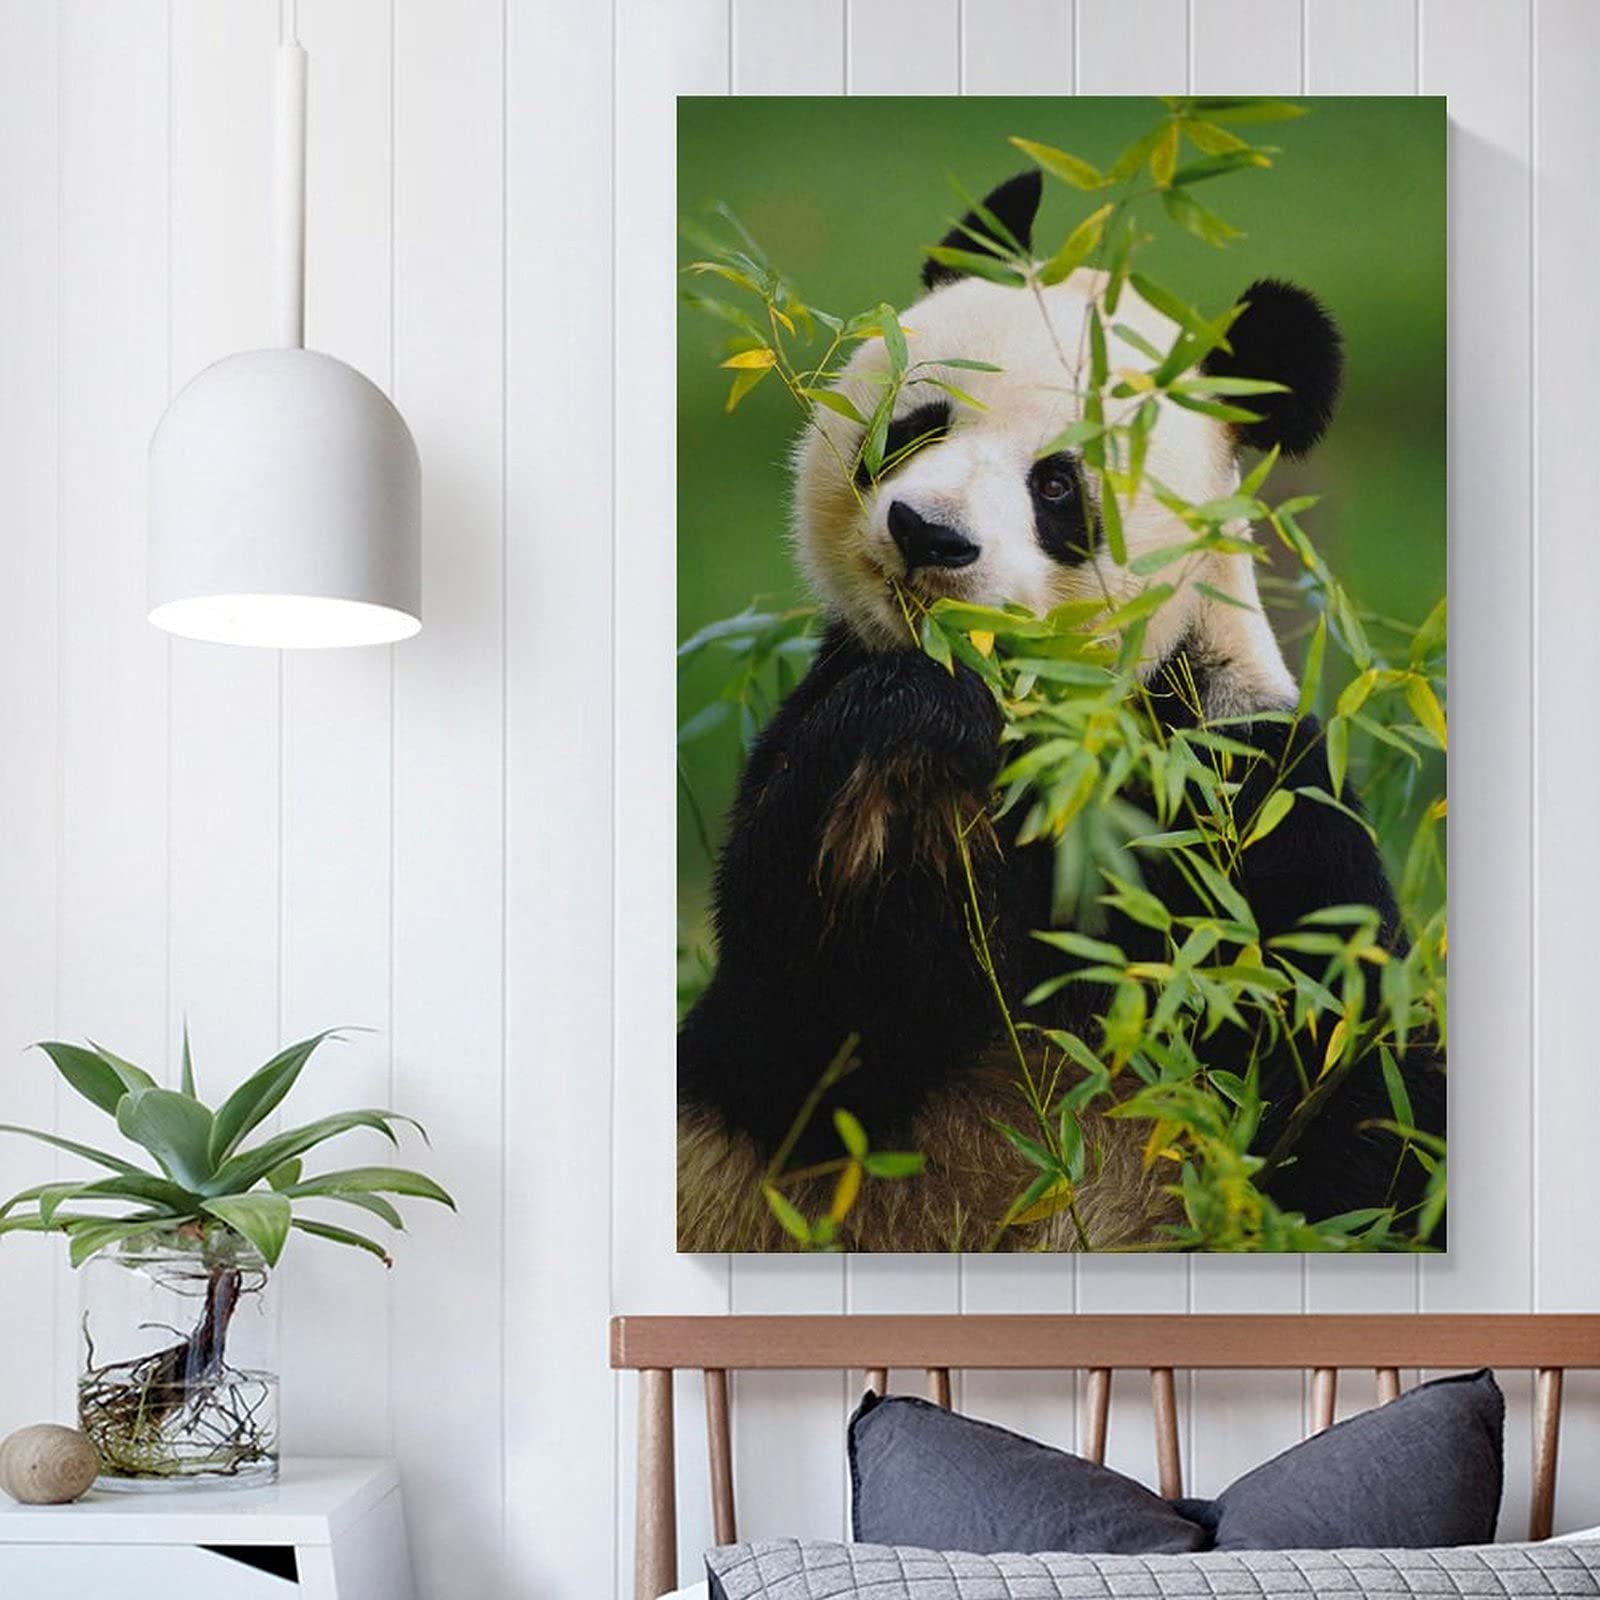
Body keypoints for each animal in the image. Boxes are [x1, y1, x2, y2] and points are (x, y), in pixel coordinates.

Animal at [678, 170, 1444, 1252]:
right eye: (918, 424)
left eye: (1055, 486)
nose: (929, 536)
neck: (1051, 718)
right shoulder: (826, 710)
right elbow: (802, 1020)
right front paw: (915, 733)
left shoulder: (1235, 789)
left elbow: (1345, 1074)